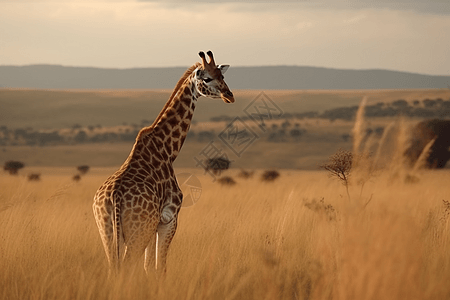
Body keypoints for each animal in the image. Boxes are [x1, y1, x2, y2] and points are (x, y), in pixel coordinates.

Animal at [91, 50, 234, 276]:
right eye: (207, 78)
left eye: (222, 75)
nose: (229, 95)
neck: (167, 150)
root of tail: (114, 198)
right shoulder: (169, 218)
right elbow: (160, 268)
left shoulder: (155, 223)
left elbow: (149, 266)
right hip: (137, 232)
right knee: (126, 266)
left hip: (108, 232)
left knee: (115, 268)